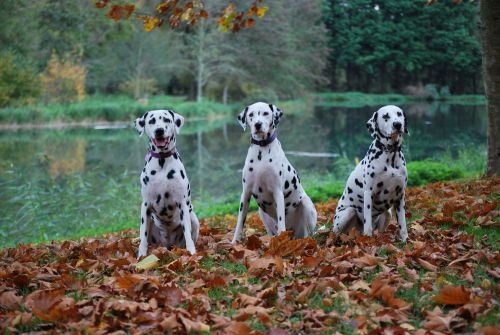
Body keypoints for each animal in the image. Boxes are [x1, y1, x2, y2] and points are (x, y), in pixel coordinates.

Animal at [137, 110, 201, 258]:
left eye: (166, 120)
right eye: (151, 121)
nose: (159, 130)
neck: (162, 162)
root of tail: (169, 245)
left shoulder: (182, 204)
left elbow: (187, 233)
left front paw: (191, 252)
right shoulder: (145, 205)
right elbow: (142, 237)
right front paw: (141, 256)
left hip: (194, 219)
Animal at [231, 101, 316, 243]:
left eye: (266, 113)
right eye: (251, 115)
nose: (257, 124)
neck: (261, 153)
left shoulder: (278, 193)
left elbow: (281, 221)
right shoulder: (246, 194)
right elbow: (239, 222)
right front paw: (234, 242)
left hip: (306, 205)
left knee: (306, 233)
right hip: (261, 212)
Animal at [332, 105, 410, 242]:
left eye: (399, 114)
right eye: (385, 116)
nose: (397, 124)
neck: (390, 155)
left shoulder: (400, 195)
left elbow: (403, 224)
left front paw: (405, 240)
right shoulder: (369, 193)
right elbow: (367, 222)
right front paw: (368, 239)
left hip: (388, 213)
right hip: (348, 212)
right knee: (338, 232)